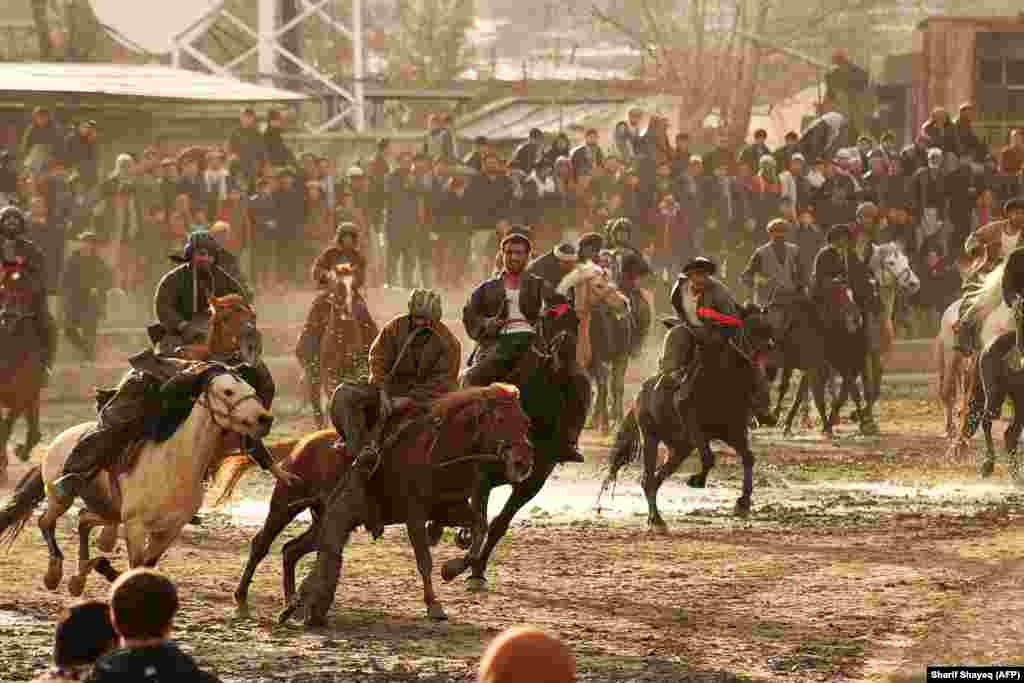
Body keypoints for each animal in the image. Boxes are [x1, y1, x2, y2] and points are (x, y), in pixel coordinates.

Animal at [0, 360, 272, 593]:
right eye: (228, 391)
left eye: (251, 389)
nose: (265, 419)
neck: (174, 464)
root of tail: (60, 439)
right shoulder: (136, 526)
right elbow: (137, 565)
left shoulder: (169, 530)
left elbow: (147, 565)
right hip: (60, 498)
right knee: (46, 521)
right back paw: (54, 573)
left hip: (107, 509)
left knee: (83, 519)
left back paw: (79, 577)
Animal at [222, 382, 536, 626]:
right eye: (499, 420)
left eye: (525, 422)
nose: (523, 462)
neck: (438, 451)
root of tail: (301, 444)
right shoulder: (414, 515)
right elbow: (424, 560)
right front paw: (434, 605)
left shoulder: (451, 509)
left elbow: (480, 529)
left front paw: (453, 568)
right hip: (284, 506)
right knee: (261, 544)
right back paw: (243, 599)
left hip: (325, 521)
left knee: (291, 550)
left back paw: (292, 602)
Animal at [598, 307, 770, 532]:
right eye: (752, 329)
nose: (768, 348)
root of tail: (640, 396)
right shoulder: (695, 429)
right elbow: (709, 457)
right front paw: (697, 480)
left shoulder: (731, 431)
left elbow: (748, 457)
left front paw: (743, 503)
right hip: (651, 437)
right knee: (648, 479)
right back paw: (656, 519)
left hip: (679, 448)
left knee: (656, 479)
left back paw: (656, 518)